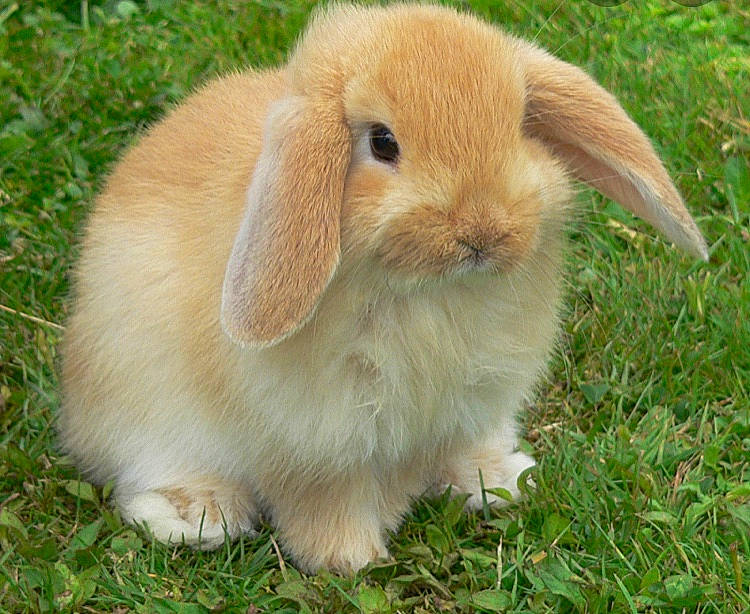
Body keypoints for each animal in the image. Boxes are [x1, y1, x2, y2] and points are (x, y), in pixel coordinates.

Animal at [58, 3, 708, 574]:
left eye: (520, 125)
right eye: (383, 142)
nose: (483, 233)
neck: (428, 293)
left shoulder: (463, 404)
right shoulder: (320, 445)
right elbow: (326, 504)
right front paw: (351, 561)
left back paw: (498, 477)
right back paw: (194, 515)